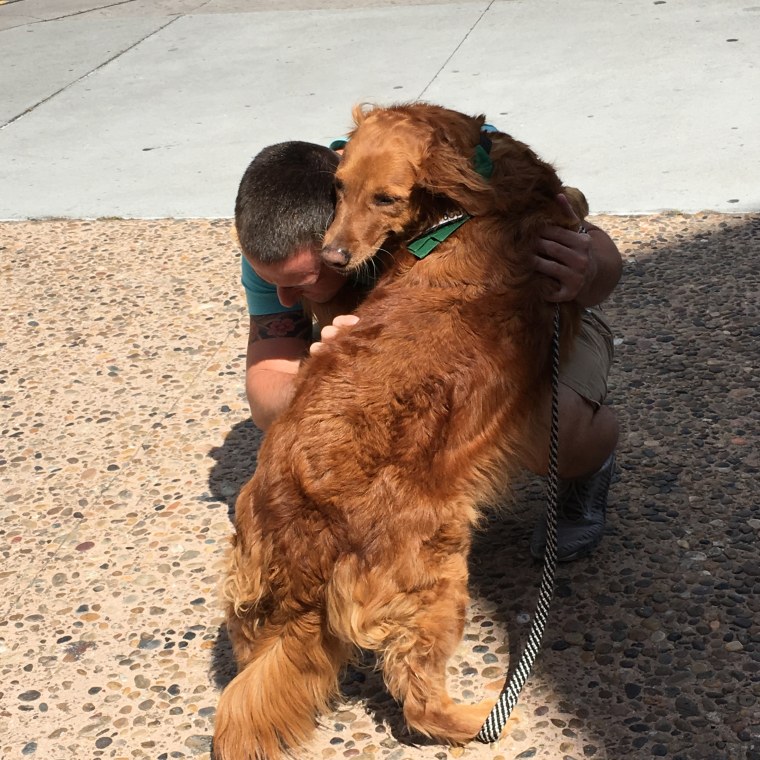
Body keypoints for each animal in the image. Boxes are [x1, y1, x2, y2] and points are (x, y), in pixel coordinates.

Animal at [212, 102, 580, 760]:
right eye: (338, 187)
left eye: (385, 197)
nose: (332, 256)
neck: (470, 195)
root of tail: (304, 526)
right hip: (434, 581)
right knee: (420, 700)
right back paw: (486, 716)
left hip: (254, 611)